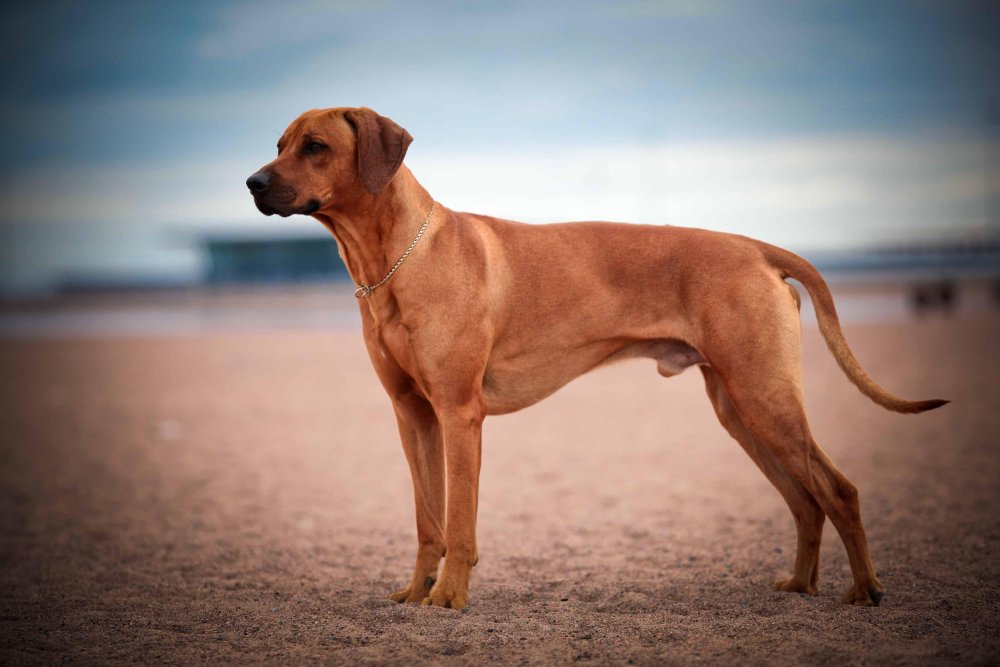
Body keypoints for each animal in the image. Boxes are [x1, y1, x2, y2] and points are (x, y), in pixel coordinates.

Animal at [248, 105, 944, 612]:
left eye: (314, 147)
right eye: (278, 143)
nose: (253, 183)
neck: (395, 259)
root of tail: (753, 247)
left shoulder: (459, 414)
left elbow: (460, 523)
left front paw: (448, 598)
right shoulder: (412, 414)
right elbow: (428, 521)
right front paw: (417, 592)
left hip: (765, 397)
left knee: (838, 490)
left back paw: (865, 589)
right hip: (739, 409)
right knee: (805, 501)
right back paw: (800, 585)